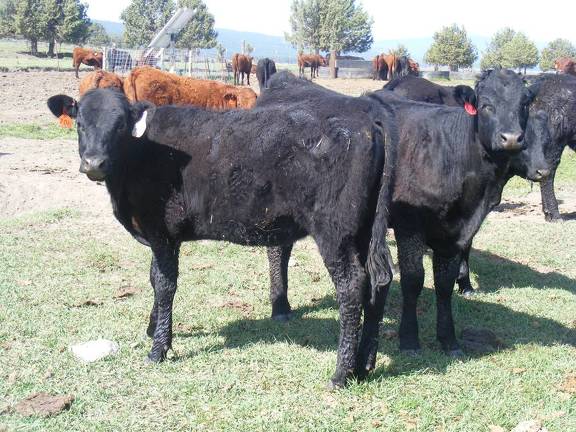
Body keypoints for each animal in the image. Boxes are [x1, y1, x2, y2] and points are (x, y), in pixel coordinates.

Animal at [47, 83, 398, 388]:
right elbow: (153, 279)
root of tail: (366, 122)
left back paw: (341, 374)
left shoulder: (162, 233)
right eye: (80, 123)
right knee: (378, 282)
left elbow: (164, 284)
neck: (141, 153)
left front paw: (158, 348)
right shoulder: (160, 238)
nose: (94, 163)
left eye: (120, 126)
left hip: (335, 231)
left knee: (351, 286)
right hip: (365, 229)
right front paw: (153, 328)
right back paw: (364, 365)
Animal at [258, 69, 548, 356]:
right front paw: (409, 339)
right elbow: (413, 279)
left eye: (524, 104)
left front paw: (449, 339)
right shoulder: (409, 224)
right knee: (278, 252)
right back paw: (280, 306)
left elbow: (444, 284)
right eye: (486, 104)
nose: (512, 138)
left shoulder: (455, 231)